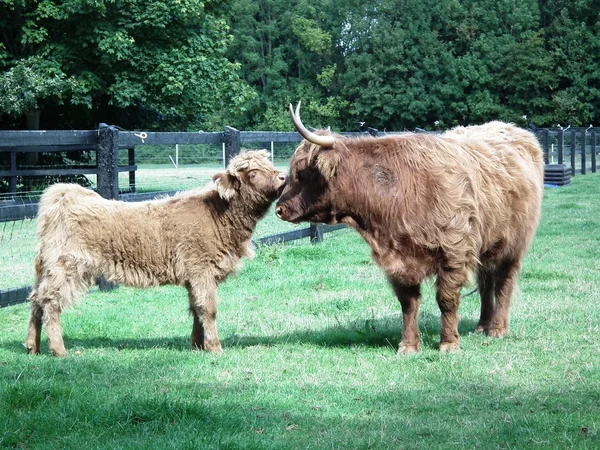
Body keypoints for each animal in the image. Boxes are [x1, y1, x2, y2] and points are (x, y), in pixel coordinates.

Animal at [28, 150, 288, 356]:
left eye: (270, 165)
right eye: (252, 173)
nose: (283, 177)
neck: (219, 215)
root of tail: (64, 197)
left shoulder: (193, 276)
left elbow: (195, 309)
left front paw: (197, 344)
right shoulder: (201, 270)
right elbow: (208, 309)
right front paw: (214, 347)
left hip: (46, 268)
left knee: (36, 300)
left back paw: (33, 347)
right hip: (67, 267)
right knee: (50, 302)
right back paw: (59, 350)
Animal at [276, 102, 544, 352]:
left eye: (301, 173)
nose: (279, 209)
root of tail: (515, 130)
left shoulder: (454, 251)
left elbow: (446, 299)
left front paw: (449, 343)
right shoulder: (399, 261)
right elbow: (408, 304)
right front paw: (408, 345)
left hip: (513, 245)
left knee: (504, 284)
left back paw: (497, 329)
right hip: (487, 245)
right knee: (486, 282)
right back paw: (482, 325)